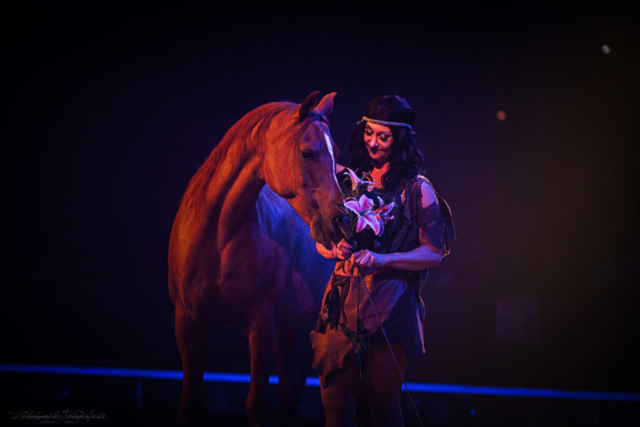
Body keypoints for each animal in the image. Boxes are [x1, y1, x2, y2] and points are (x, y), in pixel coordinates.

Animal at [166, 92, 344, 426]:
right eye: (308, 153)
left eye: (335, 153)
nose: (340, 221)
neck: (218, 240)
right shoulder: (188, 322)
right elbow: (189, 401)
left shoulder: (260, 327)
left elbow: (257, 404)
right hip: (289, 327)